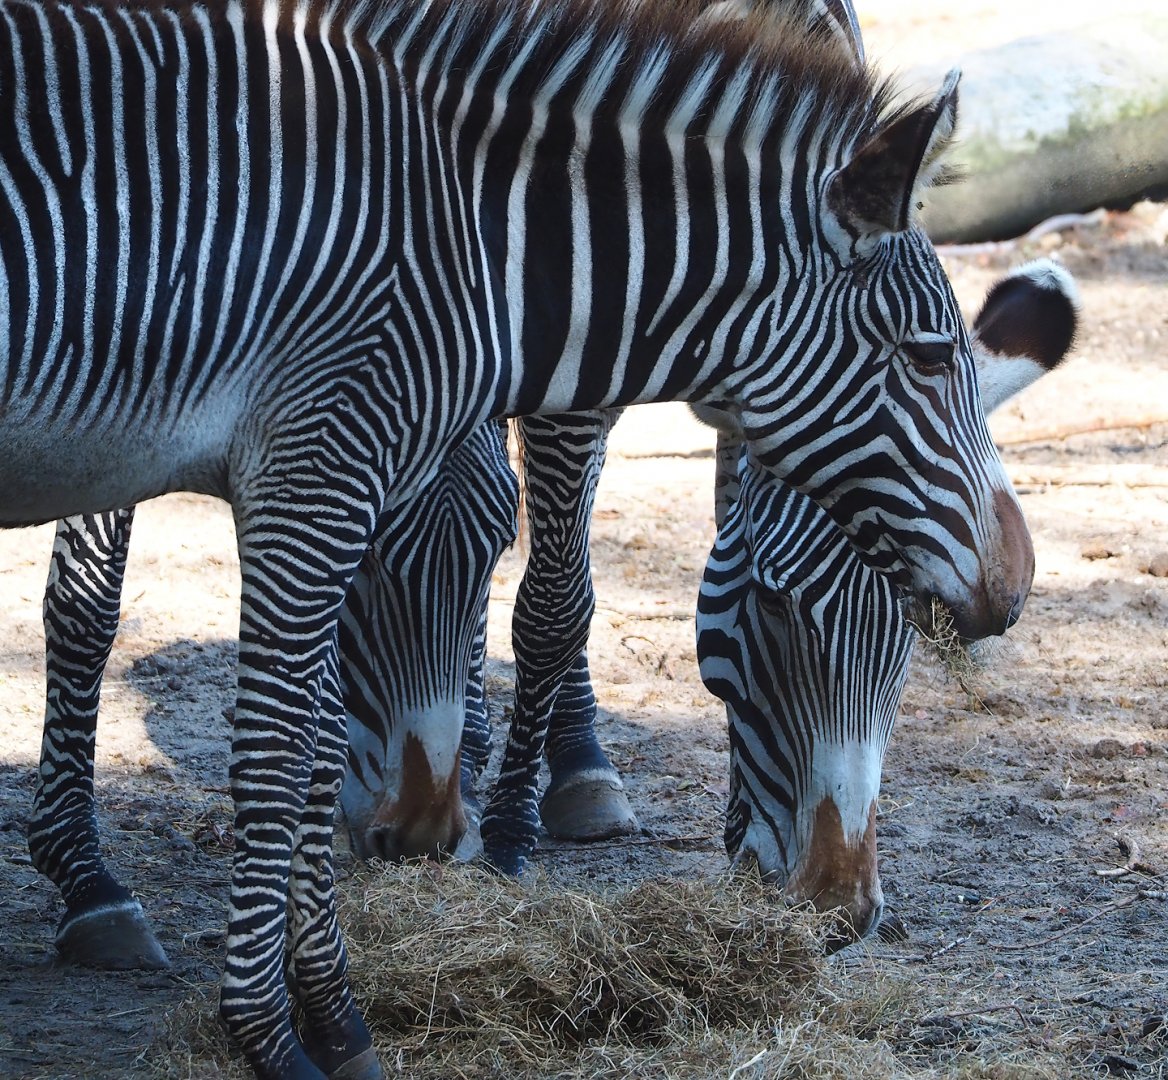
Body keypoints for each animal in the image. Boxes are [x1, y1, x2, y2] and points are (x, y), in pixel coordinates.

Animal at [3, 0, 1034, 1075]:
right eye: (774, 613)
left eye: (911, 642)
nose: (838, 909)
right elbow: (124, 627)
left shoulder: (575, 335)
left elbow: (548, 599)